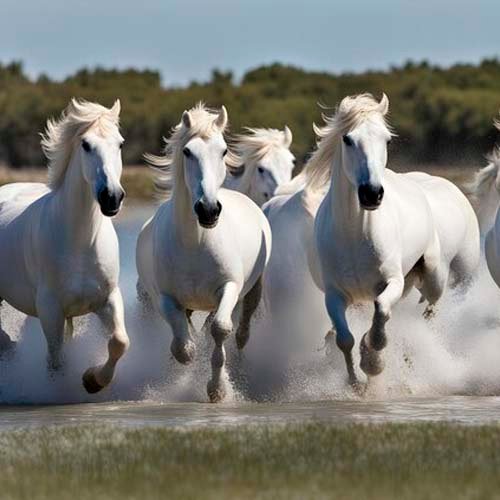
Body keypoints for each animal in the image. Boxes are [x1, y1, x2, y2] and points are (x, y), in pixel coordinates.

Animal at [0, 98, 130, 394]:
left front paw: (92, 380)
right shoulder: (50, 310)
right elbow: (56, 361)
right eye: (86, 145)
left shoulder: (107, 299)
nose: (112, 197)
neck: (81, 241)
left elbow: (119, 342)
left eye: (119, 144)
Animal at [135, 102, 272, 402]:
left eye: (223, 151)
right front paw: (185, 367)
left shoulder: (229, 288)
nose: (208, 210)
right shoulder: (166, 297)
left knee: (240, 329)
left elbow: (219, 329)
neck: (195, 243)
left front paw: (217, 390)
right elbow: (183, 346)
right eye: (187, 152)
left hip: (252, 289)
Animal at [306, 94, 478, 386]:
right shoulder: (334, 295)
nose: (372, 193)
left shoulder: (392, 283)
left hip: (437, 279)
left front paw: (372, 361)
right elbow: (344, 339)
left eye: (386, 140)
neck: (354, 234)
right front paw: (356, 382)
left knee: (429, 310)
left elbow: (381, 312)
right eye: (347, 139)